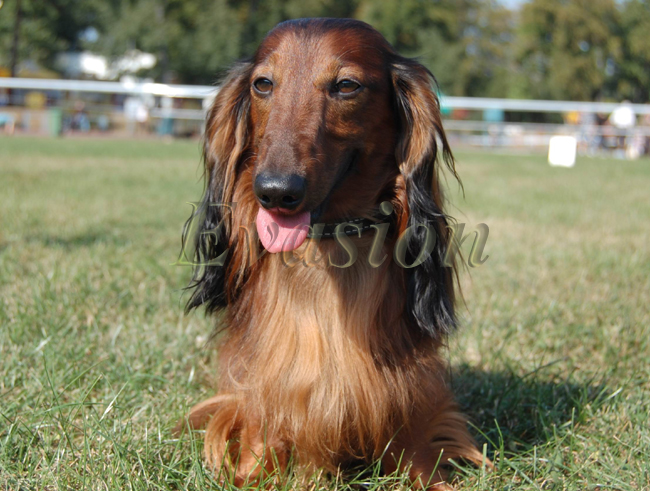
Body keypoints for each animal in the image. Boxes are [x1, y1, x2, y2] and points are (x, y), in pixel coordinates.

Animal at [180, 18, 485, 489]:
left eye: (346, 86)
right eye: (263, 84)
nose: (275, 191)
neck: (329, 245)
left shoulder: (407, 380)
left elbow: (412, 435)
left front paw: (426, 478)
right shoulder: (270, 377)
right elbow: (267, 422)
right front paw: (257, 472)